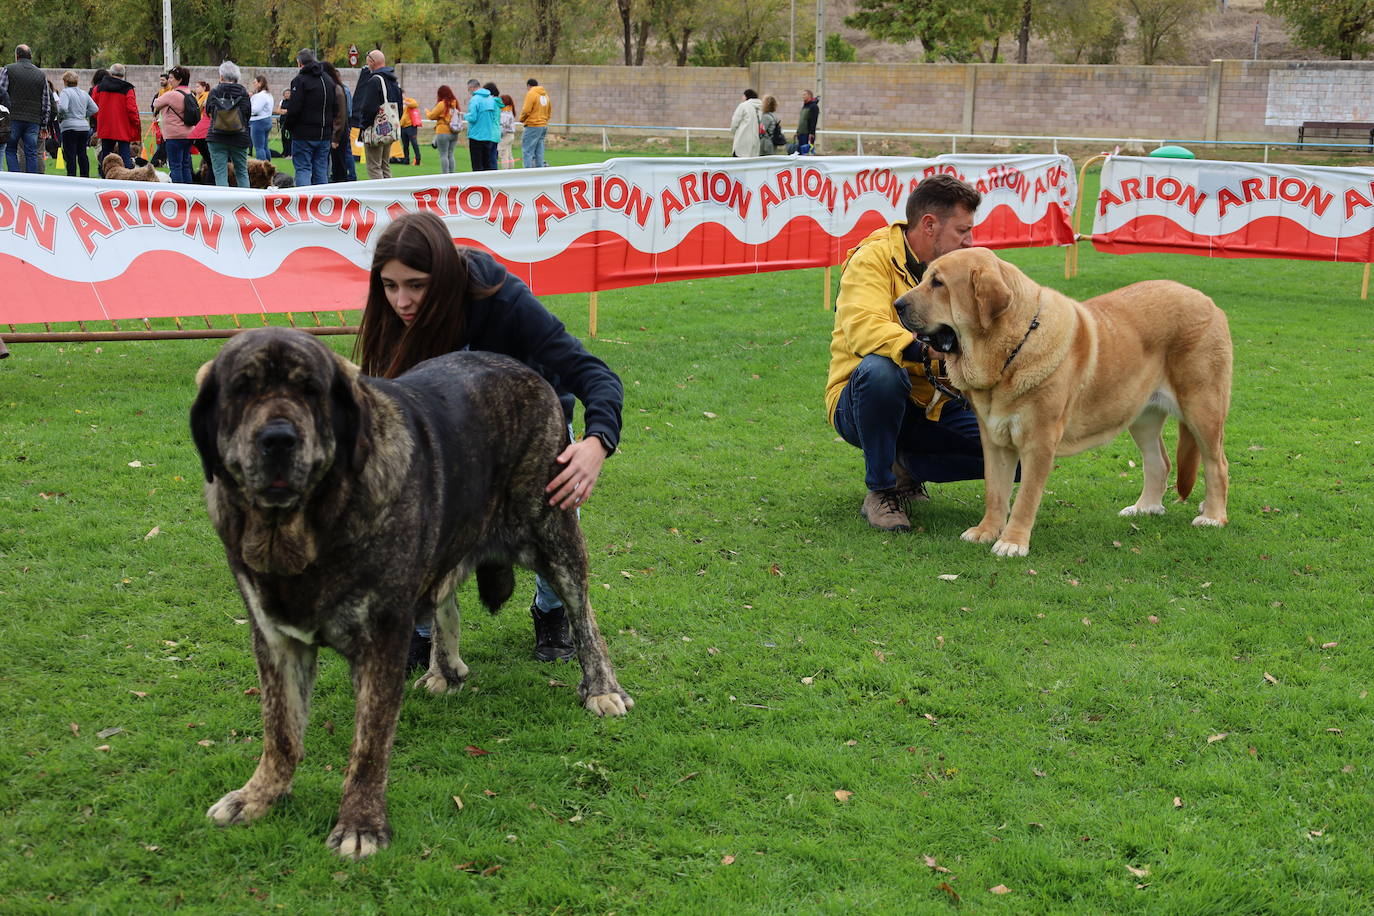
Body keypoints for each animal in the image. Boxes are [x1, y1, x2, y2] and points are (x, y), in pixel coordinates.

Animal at [192, 329, 632, 862]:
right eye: (242, 389)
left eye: (311, 391)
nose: (278, 439)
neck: (306, 530)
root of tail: (525, 370)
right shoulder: (275, 640)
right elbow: (280, 732)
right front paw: (259, 797)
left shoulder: (381, 639)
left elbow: (368, 744)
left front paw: (360, 824)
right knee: (446, 595)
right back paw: (445, 668)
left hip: (553, 533)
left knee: (582, 611)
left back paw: (603, 688)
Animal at [895, 247, 1231, 554]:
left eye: (938, 283)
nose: (897, 305)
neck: (1011, 350)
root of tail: (1209, 302)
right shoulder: (995, 441)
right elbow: (995, 492)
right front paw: (986, 531)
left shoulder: (1039, 442)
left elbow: (1025, 498)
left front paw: (1012, 542)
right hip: (1141, 415)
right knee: (1158, 461)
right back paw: (1144, 507)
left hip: (1202, 408)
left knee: (1217, 464)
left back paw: (1213, 516)